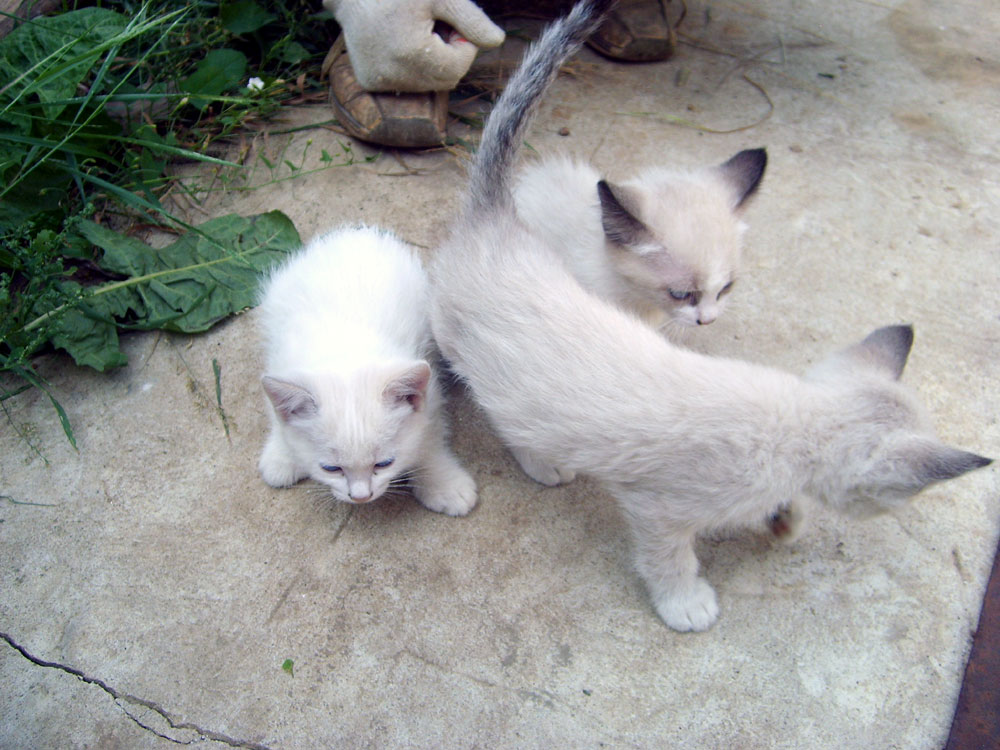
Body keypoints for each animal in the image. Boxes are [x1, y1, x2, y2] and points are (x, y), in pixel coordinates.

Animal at [257, 225, 477, 516]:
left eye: (383, 464)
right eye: (331, 469)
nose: (361, 497)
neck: (345, 351)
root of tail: (350, 234)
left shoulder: (429, 388)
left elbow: (429, 434)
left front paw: (442, 482)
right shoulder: (280, 360)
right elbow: (275, 410)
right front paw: (282, 454)